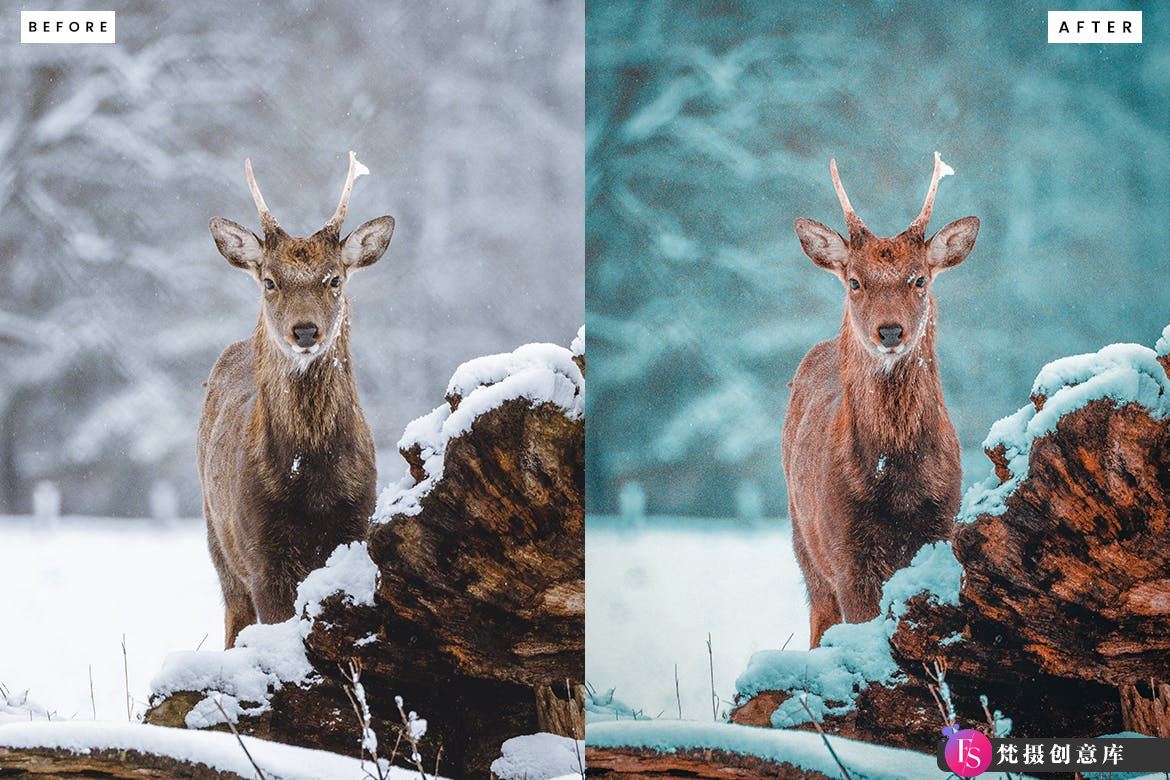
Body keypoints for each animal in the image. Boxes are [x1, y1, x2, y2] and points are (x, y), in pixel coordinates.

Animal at [198, 154, 395, 645]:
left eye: (334, 279)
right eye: (270, 281)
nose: (305, 331)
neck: (312, 484)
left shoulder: (354, 527)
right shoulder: (261, 553)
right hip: (218, 542)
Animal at [786, 152, 978, 645]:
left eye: (919, 280)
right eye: (855, 281)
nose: (890, 331)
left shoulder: (940, 527)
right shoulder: (846, 553)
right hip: (804, 543)